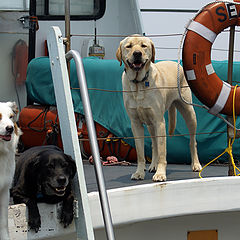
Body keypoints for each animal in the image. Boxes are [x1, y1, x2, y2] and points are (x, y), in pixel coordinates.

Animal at [115, 35, 202, 182]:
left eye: (143, 46)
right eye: (129, 46)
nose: (137, 54)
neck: (139, 84)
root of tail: (176, 64)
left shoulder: (159, 122)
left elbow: (162, 152)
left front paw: (160, 174)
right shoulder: (136, 124)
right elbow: (141, 153)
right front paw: (139, 172)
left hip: (189, 114)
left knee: (192, 142)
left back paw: (196, 164)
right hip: (150, 124)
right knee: (154, 144)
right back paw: (153, 165)